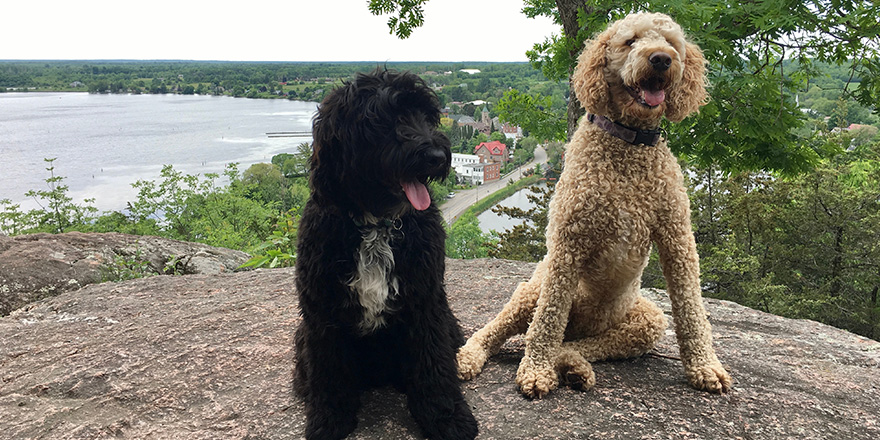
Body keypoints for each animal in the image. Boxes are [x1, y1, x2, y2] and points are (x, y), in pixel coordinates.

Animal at [294, 70, 474, 438]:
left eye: (426, 116)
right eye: (384, 119)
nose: (438, 155)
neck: (376, 224)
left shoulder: (425, 305)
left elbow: (433, 365)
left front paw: (446, 418)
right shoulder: (322, 313)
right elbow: (329, 372)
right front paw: (328, 420)